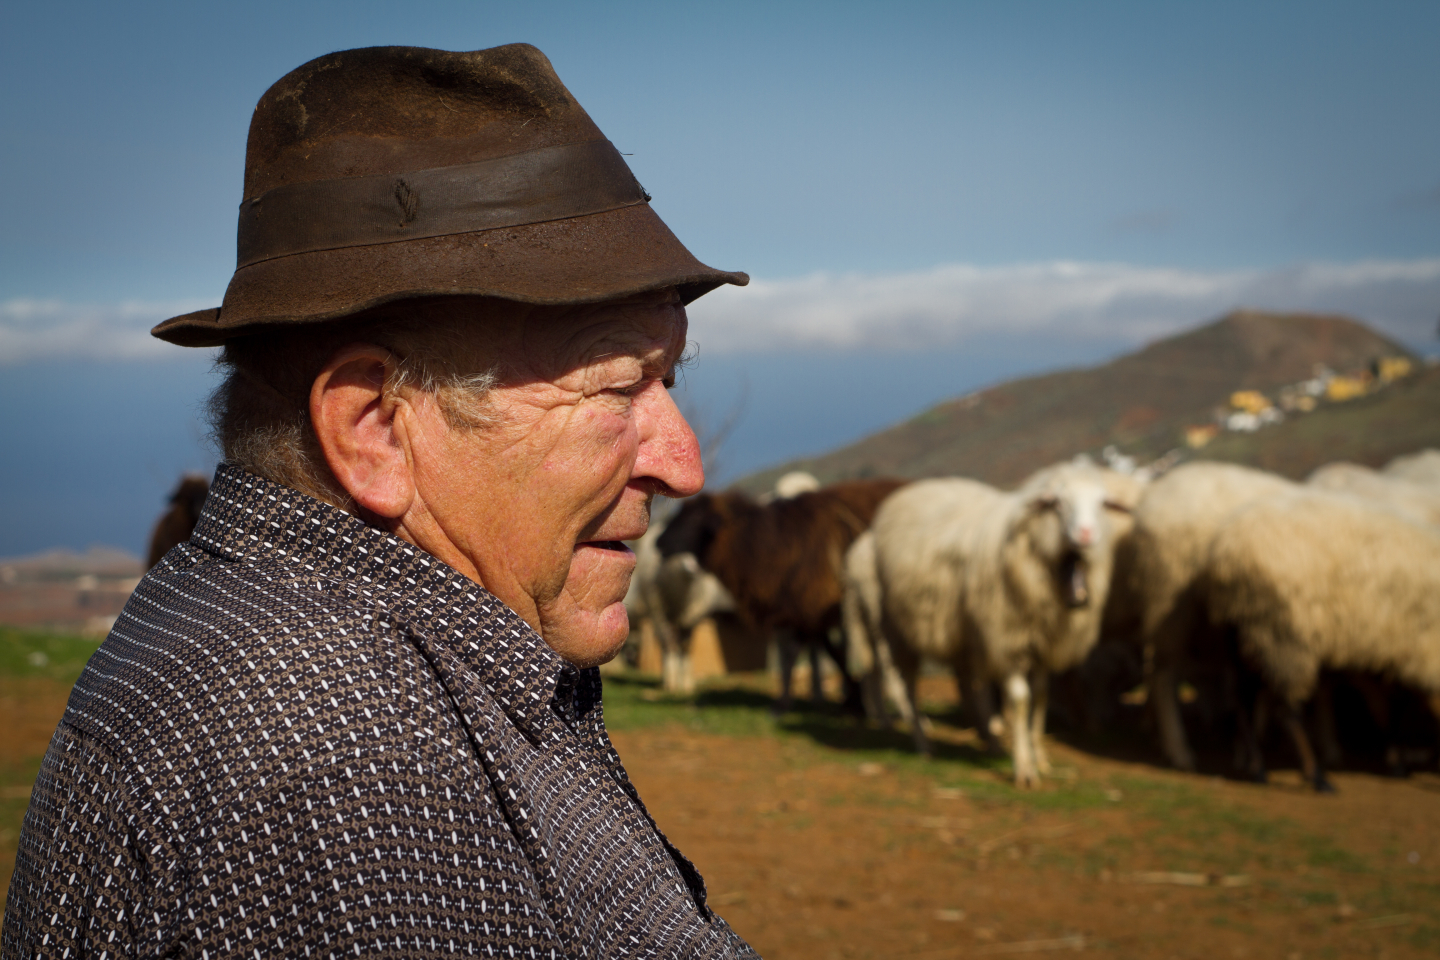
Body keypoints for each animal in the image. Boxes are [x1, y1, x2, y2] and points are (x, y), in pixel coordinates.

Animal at [659, 480, 904, 713]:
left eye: (696, 516)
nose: (658, 542)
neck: (776, 543)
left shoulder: (814, 603)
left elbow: (802, 653)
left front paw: (783, 705)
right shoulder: (808, 608)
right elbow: (829, 651)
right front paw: (853, 699)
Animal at [864, 463, 1123, 788]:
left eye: (1102, 503)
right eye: (1057, 503)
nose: (1086, 535)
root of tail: (907, 492)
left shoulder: (1043, 642)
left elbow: (1041, 696)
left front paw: (1039, 757)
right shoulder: (1007, 637)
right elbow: (1021, 700)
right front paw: (1024, 769)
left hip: (962, 633)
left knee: (969, 684)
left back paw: (991, 740)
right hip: (898, 629)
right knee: (907, 687)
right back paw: (924, 744)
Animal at [1203, 492, 1440, 794]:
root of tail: (1226, 552)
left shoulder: (1391, 652)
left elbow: (1389, 709)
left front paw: (1397, 762)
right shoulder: (1415, 650)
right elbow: (1399, 708)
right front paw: (1402, 762)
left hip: (1245, 635)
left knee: (1244, 701)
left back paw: (1258, 769)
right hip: (1286, 636)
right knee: (1287, 712)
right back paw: (1316, 776)